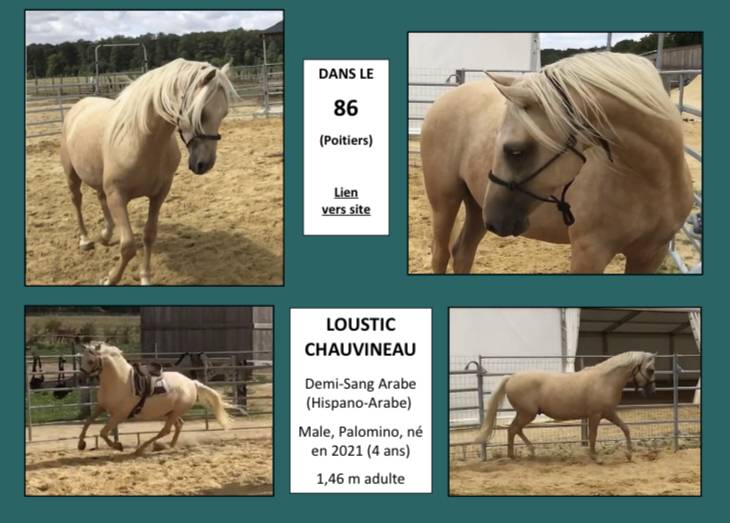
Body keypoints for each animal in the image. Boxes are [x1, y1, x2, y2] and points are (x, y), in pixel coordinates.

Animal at [60, 58, 236, 285]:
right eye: (200, 113)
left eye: (224, 113)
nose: (204, 164)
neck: (141, 139)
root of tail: (79, 106)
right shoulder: (117, 196)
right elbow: (128, 246)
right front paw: (110, 279)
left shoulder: (159, 194)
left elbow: (149, 236)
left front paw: (144, 277)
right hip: (72, 175)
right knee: (77, 201)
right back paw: (85, 240)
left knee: (100, 198)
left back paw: (106, 234)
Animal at [76, 342, 233, 455]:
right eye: (82, 360)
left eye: (90, 361)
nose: (80, 378)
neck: (119, 380)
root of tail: (191, 383)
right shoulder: (101, 407)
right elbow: (87, 422)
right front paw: (81, 444)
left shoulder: (119, 415)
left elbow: (103, 432)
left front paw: (118, 446)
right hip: (169, 413)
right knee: (178, 425)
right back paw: (169, 445)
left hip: (175, 412)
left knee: (166, 430)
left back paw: (142, 448)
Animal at [421, 52, 693, 273]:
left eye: (515, 151)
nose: (496, 220)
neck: (653, 182)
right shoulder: (589, 254)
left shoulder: (650, 255)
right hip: (446, 202)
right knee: (440, 255)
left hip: (476, 206)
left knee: (463, 254)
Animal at [474, 351, 656, 460]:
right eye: (651, 369)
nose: (652, 390)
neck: (605, 380)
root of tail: (511, 378)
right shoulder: (596, 415)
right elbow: (593, 435)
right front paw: (594, 456)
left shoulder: (608, 412)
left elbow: (625, 428)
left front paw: (629, 453)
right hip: (527, 414)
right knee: (513, 429)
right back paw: (515, 455)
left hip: (525, 414)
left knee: (514, 430)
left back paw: (525, 452)